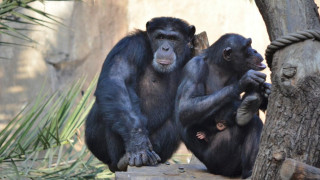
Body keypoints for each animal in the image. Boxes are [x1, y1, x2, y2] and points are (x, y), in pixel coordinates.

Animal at [84, 16, 195, 172]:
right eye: (160, 37)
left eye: (173, 38)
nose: (165, 48)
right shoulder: (130, 46)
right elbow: (116, 80)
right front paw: (137, 143)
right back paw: (123, 160)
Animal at [175, 33, 270, 178]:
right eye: (247, 46)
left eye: (251, 45)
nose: (254, 51)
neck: (221, 67)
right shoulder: (194, 68)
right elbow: (186, 106)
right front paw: (245, 81)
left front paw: (266, 90)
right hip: (220, 159)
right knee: (252, 122)